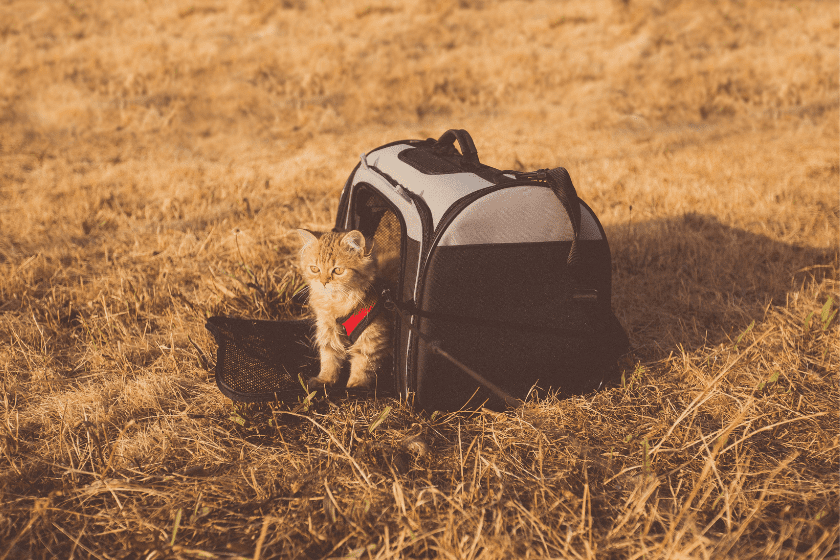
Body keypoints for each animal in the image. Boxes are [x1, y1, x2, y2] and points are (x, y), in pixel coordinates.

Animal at [296, 225, 398, 392]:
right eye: (315, 269)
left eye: (338, 270)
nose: (323, 282)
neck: (337, 303)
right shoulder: (328, 331)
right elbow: (329, 359)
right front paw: (324, 380)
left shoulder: (371, 338)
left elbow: (362, 365)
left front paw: (356, 386)